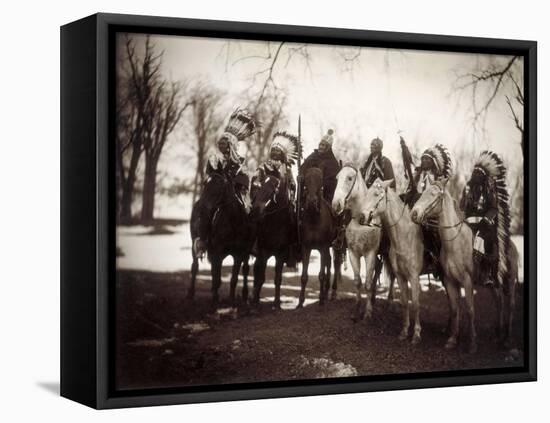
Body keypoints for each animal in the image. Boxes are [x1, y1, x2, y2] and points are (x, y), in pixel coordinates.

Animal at [189, 174, 256, 306]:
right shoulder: (217, 252)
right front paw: (215, 299)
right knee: (195, 267)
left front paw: (231, 300)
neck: (234, 222)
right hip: (194, 244)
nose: (202, 208)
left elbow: (234, 278)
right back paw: (191, 294)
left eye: (219, 189)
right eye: (205, 185)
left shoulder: (239, 254)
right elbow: (217, 277)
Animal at [251, 174, 298, 310]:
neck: (276, 224)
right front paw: (255, 302)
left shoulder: (280, 254)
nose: (254, 211)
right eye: (259, 188)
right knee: (257, 273)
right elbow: (261, 277)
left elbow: (278, 279)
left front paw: (276, 303)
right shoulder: (263, 253)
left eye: (272, 191)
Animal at [300, 167, 338, 306]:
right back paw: (326, 291)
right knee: (329, 261)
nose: (311, 202)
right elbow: (304, 276)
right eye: (306, 181)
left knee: (336, 263)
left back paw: (332, 292)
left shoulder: (323, 248)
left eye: (320, 183)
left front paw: (321, 299)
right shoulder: (306, 248)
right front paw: (300, 301)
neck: (314, 221)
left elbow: (321, 274)